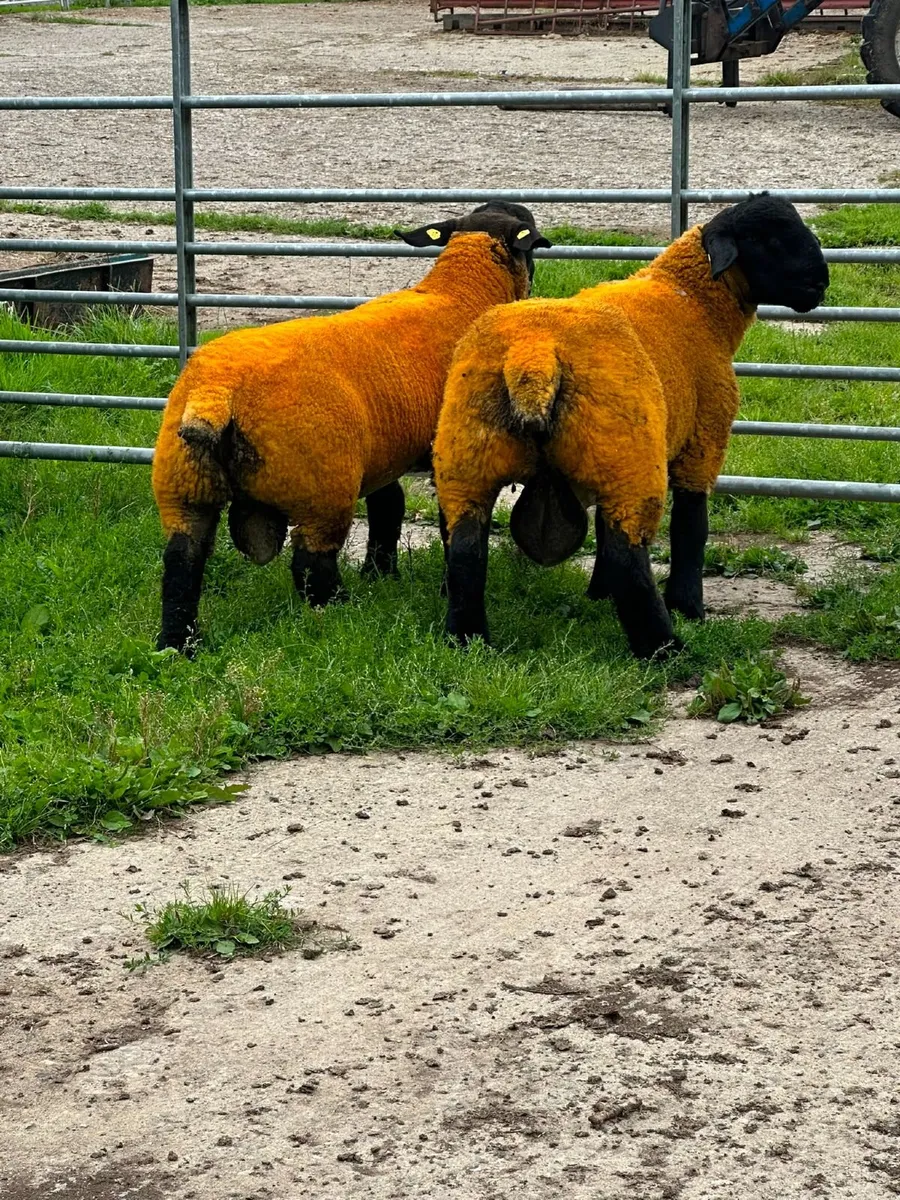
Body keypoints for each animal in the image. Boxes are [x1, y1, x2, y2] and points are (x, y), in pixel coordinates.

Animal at [151, 201, 550, 653]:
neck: (459, 294)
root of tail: (216, 389)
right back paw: (345, 608)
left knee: (181, 561)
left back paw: (178, 646)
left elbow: (388, 504)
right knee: (310, 565)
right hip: (322, 489)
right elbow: (442, 524)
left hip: (184, 485)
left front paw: (380, 572)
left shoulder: (382, 449)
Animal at [432, 193, 829, 660]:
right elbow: (691, 528)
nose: (821, 283)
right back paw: (665, 648)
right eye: (769, 239)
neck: (695, 303)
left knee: (465, 550)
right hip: (630, 458)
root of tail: (533, 356)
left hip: (473, 455)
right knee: (629, 554)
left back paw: (467, 641)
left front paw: (599, 594)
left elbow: (605, 533)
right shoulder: (703, 440)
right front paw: (688, 606)